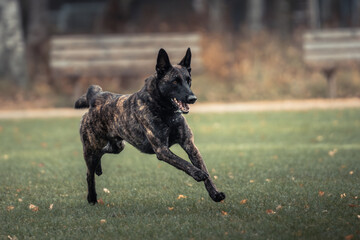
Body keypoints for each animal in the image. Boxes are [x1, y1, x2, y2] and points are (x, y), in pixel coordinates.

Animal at [74, 47, 225, 203]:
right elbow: (184, 162)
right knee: (89, 173)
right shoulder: (162, 150)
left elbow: (204, 169)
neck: (165, 111)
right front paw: (197, 173)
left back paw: (98, 169)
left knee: (102, 152)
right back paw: (92, 197)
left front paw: (215, 193)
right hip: (90, 148)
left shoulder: (189, 145)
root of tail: (95, 98)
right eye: (175, 81)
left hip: (117, 146)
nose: (192, 98)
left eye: (189, 80)